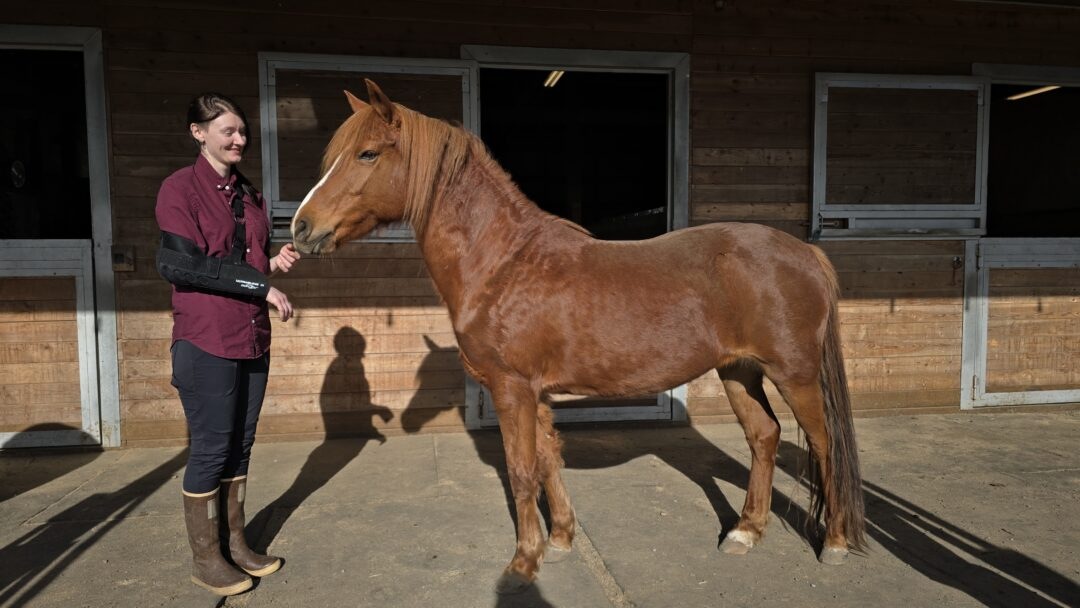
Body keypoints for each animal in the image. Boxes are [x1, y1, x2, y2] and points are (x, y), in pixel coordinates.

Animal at [291, 79, 865, 592]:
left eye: (367, 153)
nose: (301, 227)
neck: (503, 263)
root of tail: (805, 253)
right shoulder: (535, 394)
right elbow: (548, 460)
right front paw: (562, 539)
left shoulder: (512, 389)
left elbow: (521, 471)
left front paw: (523, 564)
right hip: (739, 371)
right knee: (764, 436)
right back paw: (745, 533)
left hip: (794, 375)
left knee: (824, 445)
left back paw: (835, 543)